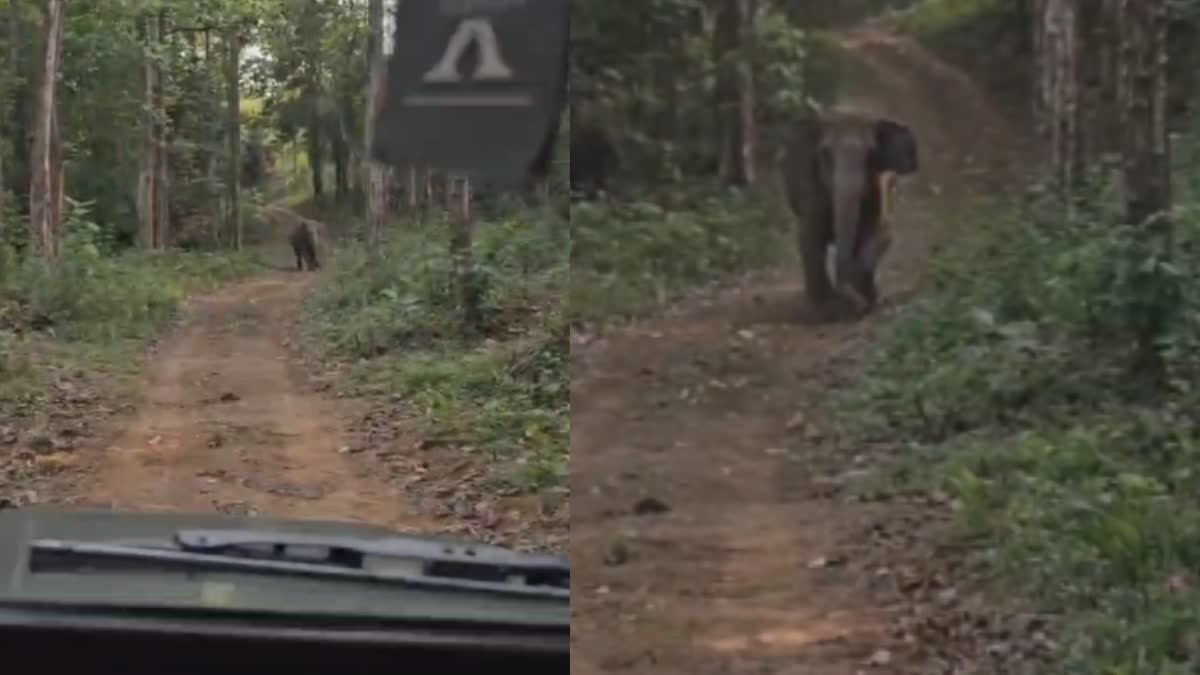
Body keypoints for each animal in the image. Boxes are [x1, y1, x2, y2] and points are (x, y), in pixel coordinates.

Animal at [777, 107, 916, 319]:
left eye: (872, 154)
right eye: (825, 154)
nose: (857, 304)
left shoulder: (877, 194)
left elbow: (875, 233)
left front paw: (861, 300)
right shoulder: (810, 186)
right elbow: (809, 237)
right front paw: (824, 309)